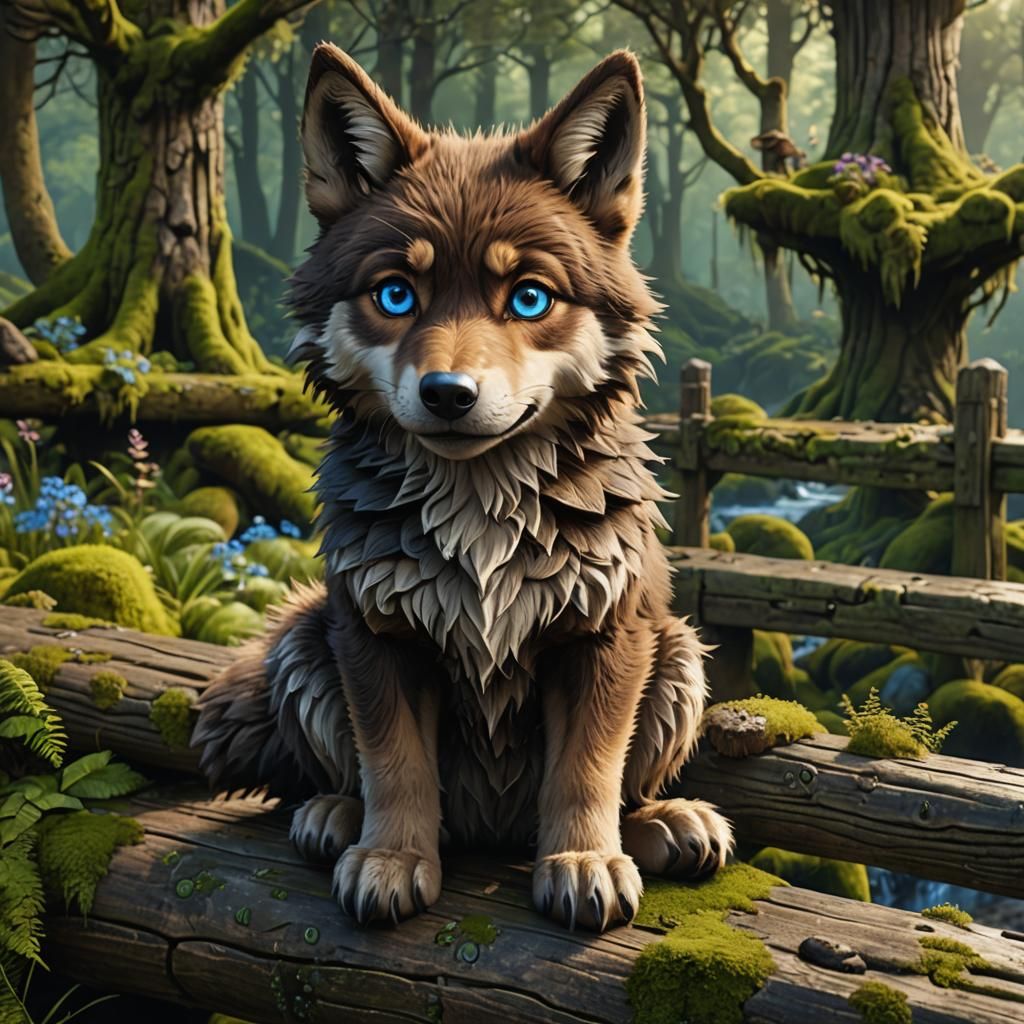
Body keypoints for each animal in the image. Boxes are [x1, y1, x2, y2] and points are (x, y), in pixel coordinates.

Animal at [193, 44, 733, 933]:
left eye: (530, 297)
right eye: (395, 294)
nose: (448, 393)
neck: (480, 503)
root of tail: (491, 830)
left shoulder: (606, 635)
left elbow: (589, 767)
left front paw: (583, 861)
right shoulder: (373, 634)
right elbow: (393, 762)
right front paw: (391, 858)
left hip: (679, 649)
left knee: (632, 781)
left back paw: (663, 825)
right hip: (303, 636)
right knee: (345, 774)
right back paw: (334, 818)